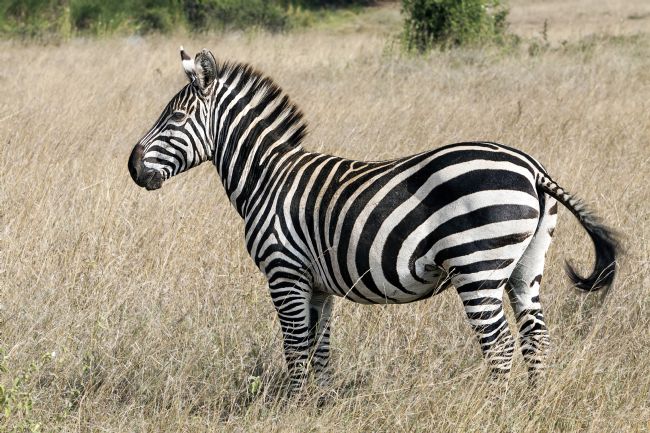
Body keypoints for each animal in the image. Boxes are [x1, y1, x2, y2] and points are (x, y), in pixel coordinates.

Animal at [128, 48, 618, 393]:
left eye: (175, 118)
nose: (132, 168)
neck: (267, 177)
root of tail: (531, 167)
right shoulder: (319, 283)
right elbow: (320, 347)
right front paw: (319, 404)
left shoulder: (284, 272)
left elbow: (295, 345)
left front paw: (295, 404)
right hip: (525, 265)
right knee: (536, 336)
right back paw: (530, 403)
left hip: (477, 264)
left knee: (498, 345)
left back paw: (495, 408)